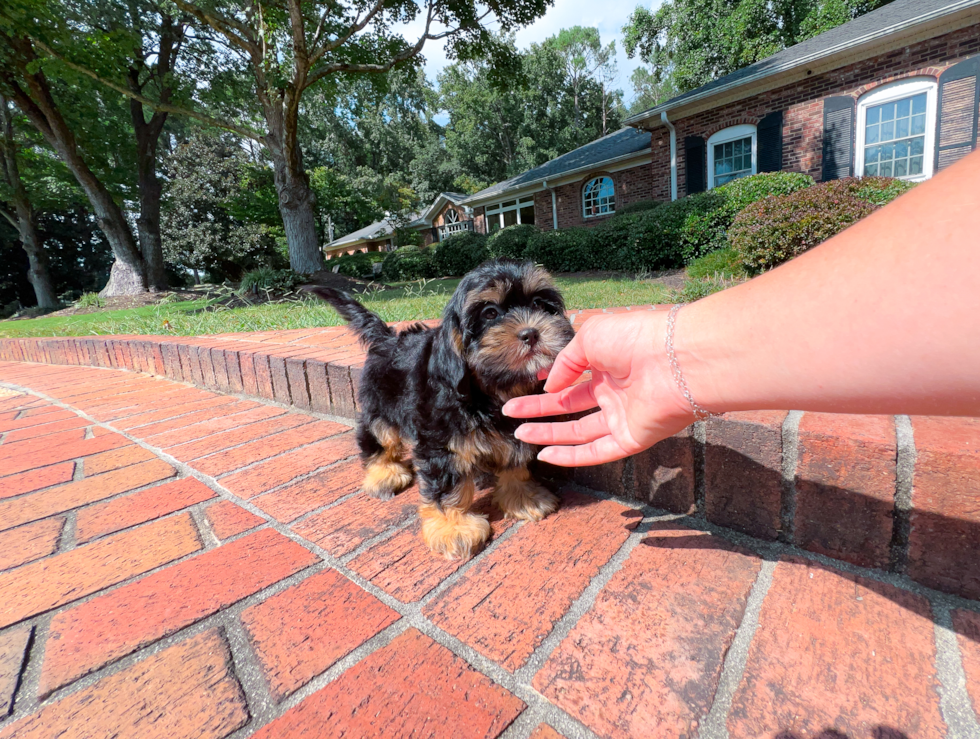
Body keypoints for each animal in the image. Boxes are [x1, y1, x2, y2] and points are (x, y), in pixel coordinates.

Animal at [312, 258, 576, 556]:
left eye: (541, 305)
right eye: (490, 313)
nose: (531, 333)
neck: (492, 389)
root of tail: (387, 338)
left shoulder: (516, 427)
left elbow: (515, 461)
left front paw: (523, 497)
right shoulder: (442, 441)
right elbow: (447, 484)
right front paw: (453, 527)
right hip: (381, 404)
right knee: (377, 437)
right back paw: (383, 474)